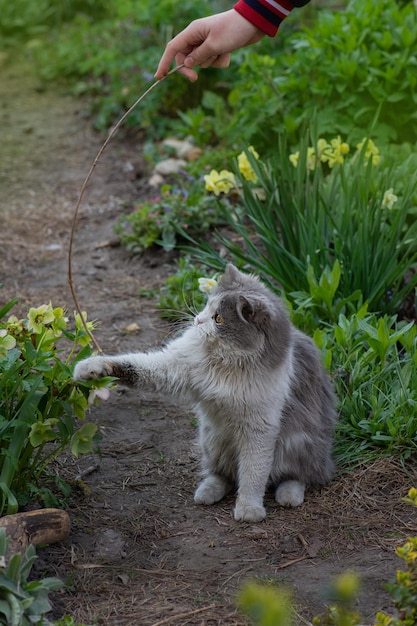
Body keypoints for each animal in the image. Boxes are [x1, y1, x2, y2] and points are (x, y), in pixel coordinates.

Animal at [74, 264, 334, 520]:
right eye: (207, 306)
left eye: (218, 318)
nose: (198, 320)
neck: (222, 363)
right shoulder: (172, 367)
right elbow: (131, 365)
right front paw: (89, 368)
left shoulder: (259, 429)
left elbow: (253, 473)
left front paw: (249, 510)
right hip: (213, 438)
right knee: (222, 474)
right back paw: (207, 492)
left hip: (298, 445)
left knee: (299, 476)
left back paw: (288, 495)